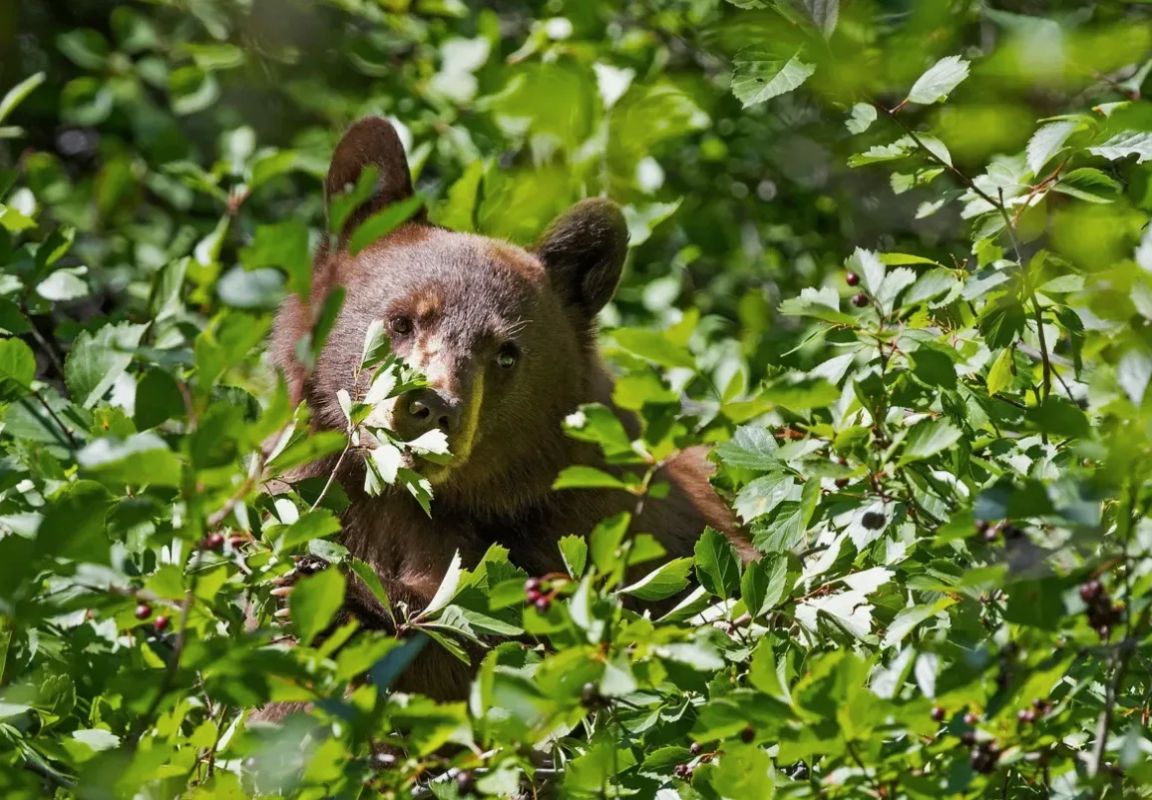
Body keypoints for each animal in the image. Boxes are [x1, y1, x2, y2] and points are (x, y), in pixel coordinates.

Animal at [265, 117, 751, 702]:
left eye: (505, 353)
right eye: (402, 320)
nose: (428, 406)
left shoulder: (572, 538)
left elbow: (486, 639)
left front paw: (342, 594)